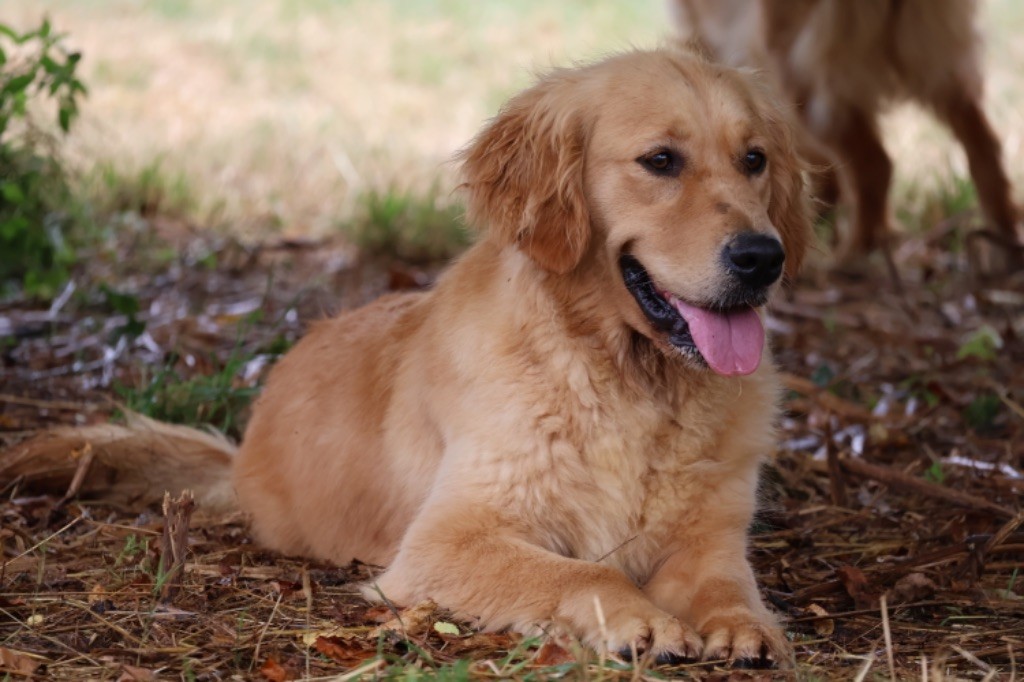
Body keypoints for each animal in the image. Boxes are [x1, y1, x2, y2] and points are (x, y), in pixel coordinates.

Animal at [4, 49, 811, 663]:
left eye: (754, 160)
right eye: (660, 160)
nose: (762, 257)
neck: (629, 380)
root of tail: (239, 454)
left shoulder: (712, 540)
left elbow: (726, 586)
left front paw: (743, 626)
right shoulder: (444, 541)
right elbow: (584, 573)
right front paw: (642, 618)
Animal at [675, 0, 1019, 266]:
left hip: (801, 70)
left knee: (875, 165)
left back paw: (853, 254)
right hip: (936, 62)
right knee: (985, 146)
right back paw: (1004, 240)